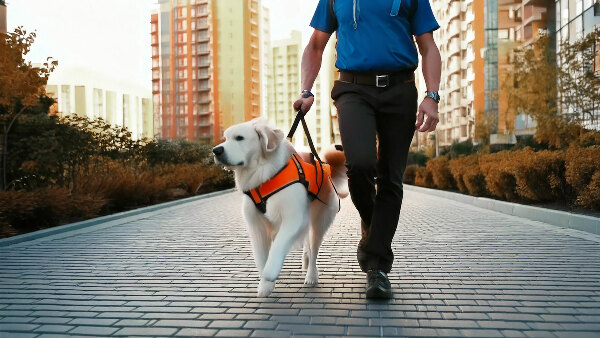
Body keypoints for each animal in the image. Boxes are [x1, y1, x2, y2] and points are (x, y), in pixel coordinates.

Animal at [213, 117, 350, 298]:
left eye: (239, 138)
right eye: (225, 138)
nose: (216, 150)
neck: (263, 175)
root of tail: (325, 166)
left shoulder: (294, 218)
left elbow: (278, 246)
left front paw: (270, 272)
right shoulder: (256, 224)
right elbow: (261, 256)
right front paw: (265, 285)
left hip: (319, 221)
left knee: (314, 249)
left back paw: (311, 275)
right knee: (308, 246)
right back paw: (305, 262)